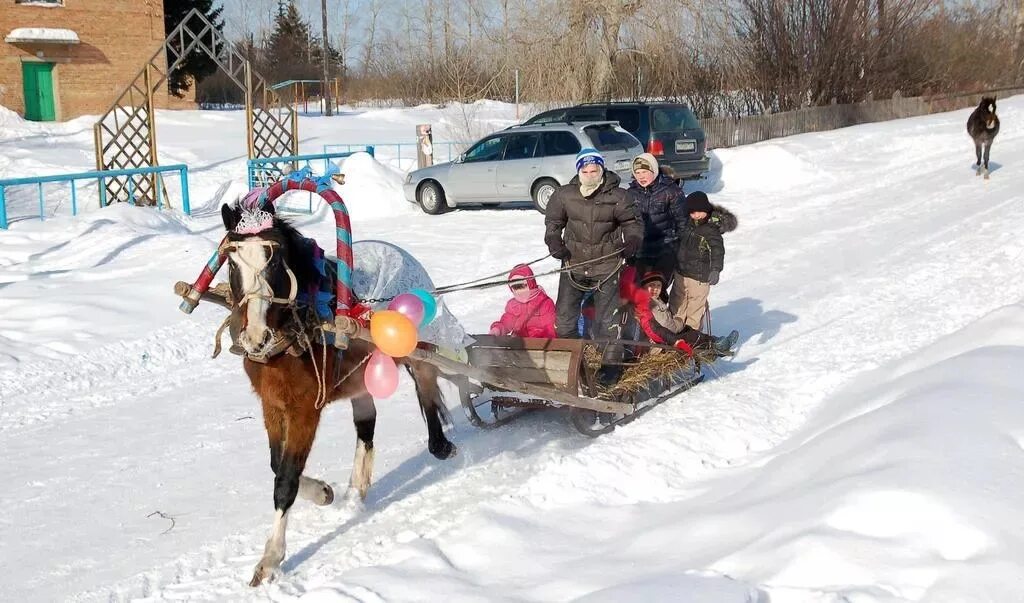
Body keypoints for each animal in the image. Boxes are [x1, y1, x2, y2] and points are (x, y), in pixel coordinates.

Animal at [220, 200, 456, 581]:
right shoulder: (272, 404)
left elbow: (285, 479)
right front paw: (322, 492)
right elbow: (275, 463)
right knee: (367, 425)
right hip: (361, 378)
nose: (255, 338)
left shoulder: (305, 408)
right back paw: (356, 488)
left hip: (416, 347)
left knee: (427, 389)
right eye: (232, 261)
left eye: (275, 260)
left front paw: (271, 558)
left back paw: (441, 446)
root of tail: (400, 252)